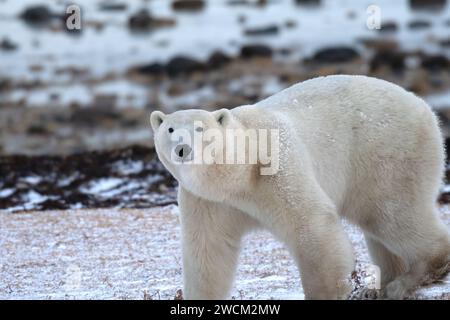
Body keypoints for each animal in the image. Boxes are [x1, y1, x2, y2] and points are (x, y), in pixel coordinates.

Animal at [150, 75, 450, 300]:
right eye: (170, 129)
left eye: (200, 129)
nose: (183, 149)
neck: (238, 174)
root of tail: (424, 107)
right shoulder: (207, 201)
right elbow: (208, 252)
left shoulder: (275, 167)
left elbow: (312, 225)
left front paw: (326, 292)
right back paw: (382, 285)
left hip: (386, 153)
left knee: (392, 213)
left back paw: (407, 280)